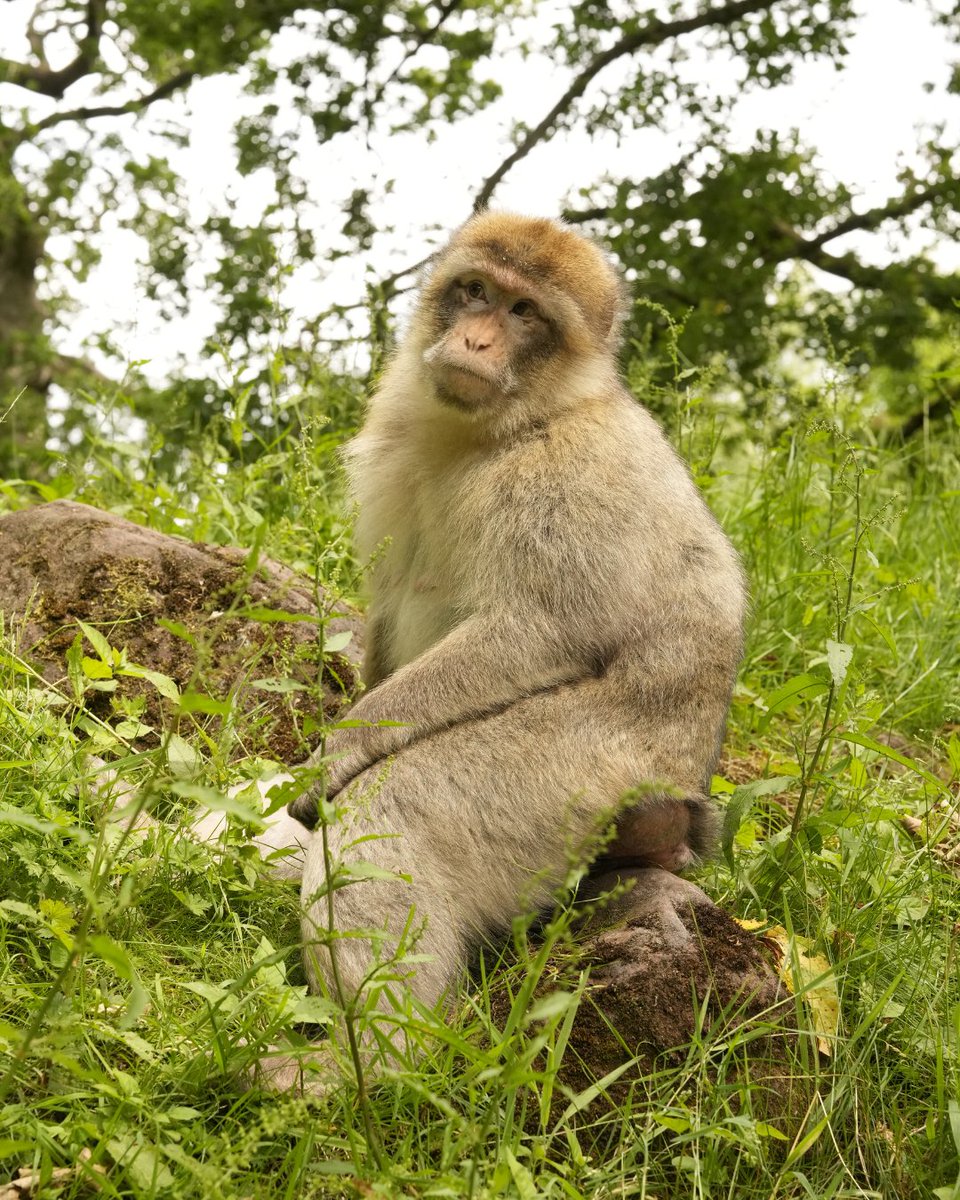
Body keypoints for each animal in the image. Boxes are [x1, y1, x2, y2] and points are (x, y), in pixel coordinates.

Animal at [280, 211, 747, 1029]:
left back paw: (372, 1050)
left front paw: (341, 749)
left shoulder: (566, 474)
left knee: (401, 801)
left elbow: (540, 630)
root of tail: (683, 814)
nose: (476, 340)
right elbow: (389, 602)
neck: (513, 424)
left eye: (524, 312)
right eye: (475, 292)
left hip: (589, 776)